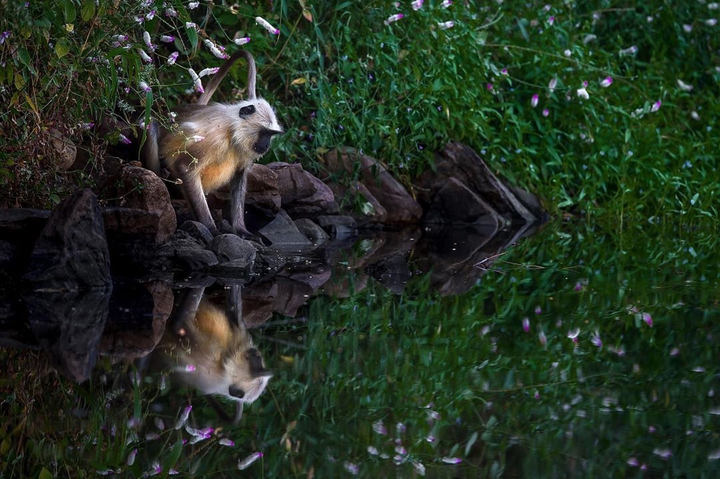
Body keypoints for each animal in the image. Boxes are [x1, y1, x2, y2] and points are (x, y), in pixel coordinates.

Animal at [143, 50, 283, 237]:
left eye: (271, 135)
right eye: (265, 133)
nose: (266, 145)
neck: (233, 130)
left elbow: (239, 178)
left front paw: (241, 230)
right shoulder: (214, 139)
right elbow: (184, 167)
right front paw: (211, 228)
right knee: (151, 126)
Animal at [150, 285, 272, 421]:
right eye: (257, 361)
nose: (254, 353)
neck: (225, 359)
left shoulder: (210, 359)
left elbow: (178, 326)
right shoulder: (241, 338)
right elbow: (233, 311)